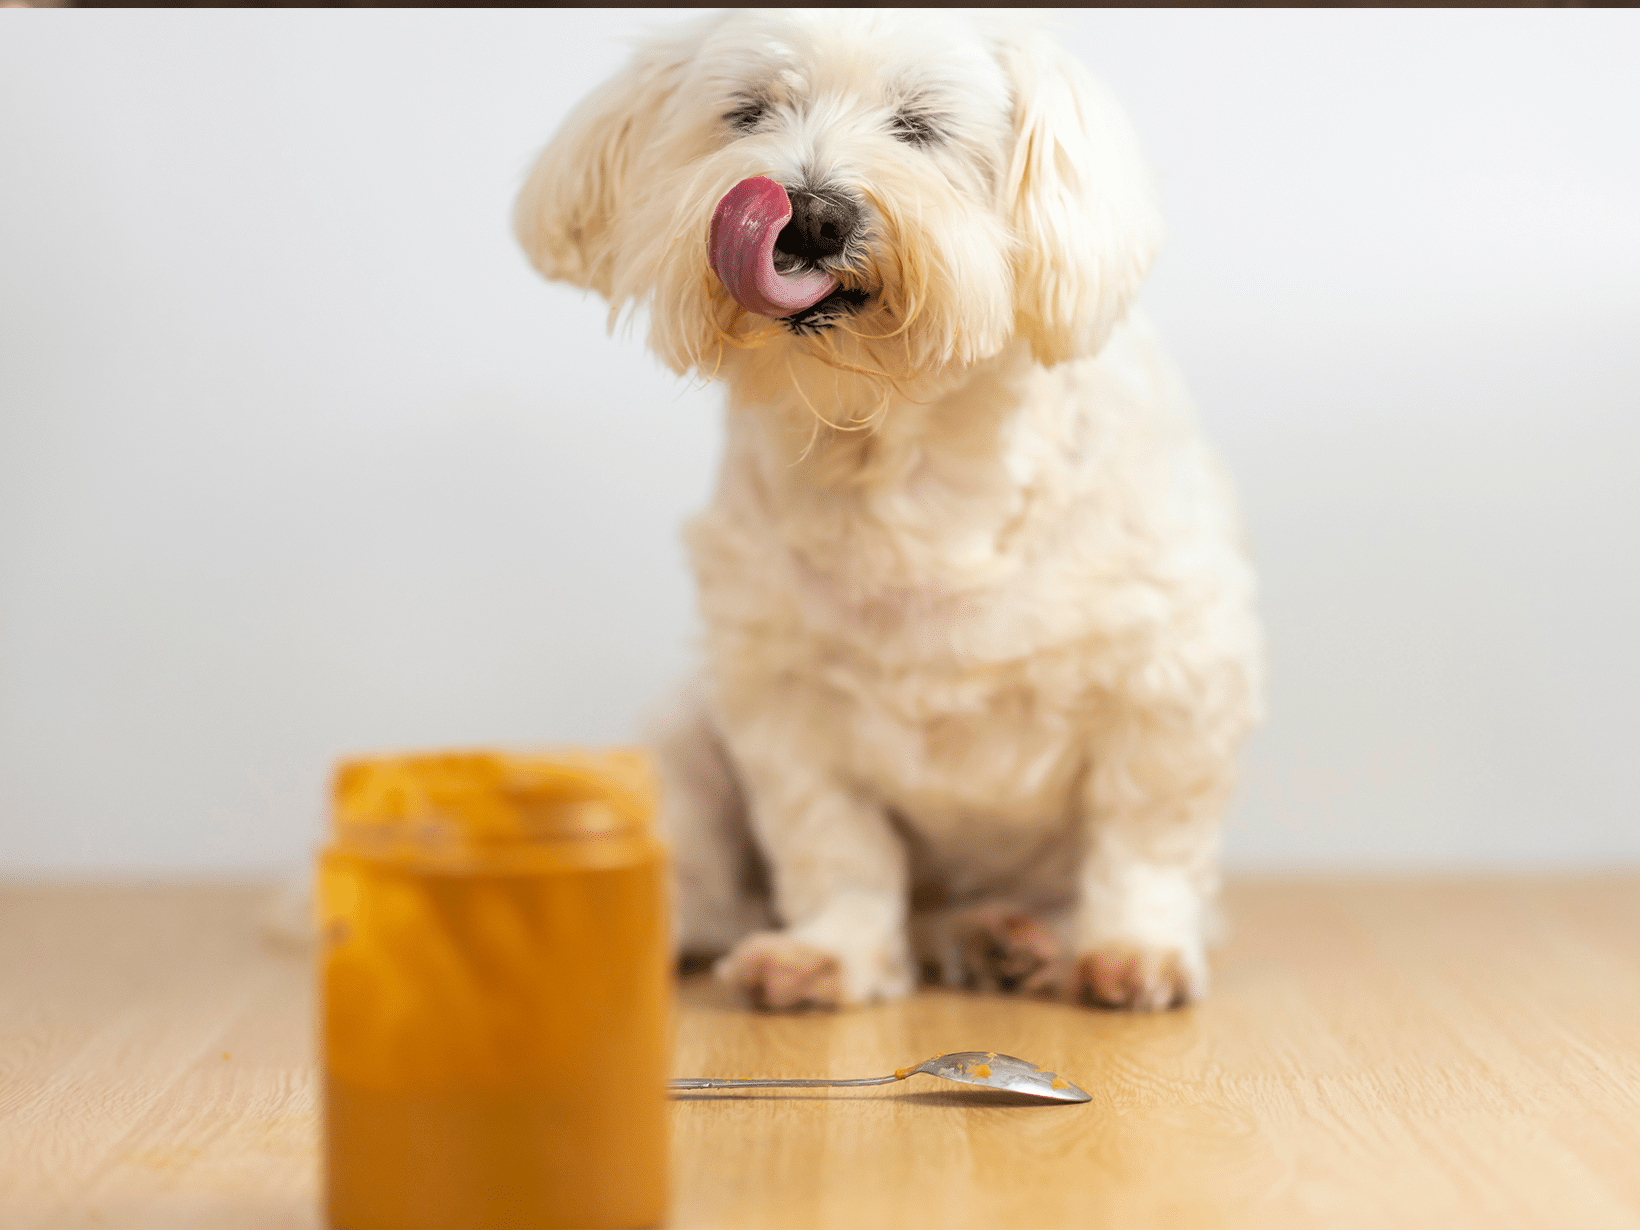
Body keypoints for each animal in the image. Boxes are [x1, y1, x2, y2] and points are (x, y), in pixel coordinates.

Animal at [518, 7, 1259, 1010]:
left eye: (921, 125)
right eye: (748, 112)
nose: (810, 214)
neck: (901, 451)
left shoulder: (1173, 674)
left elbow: (1145, 837)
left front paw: (1134, 951)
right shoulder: (784, 698)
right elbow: (834, 844)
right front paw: (830, 953)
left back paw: (1006, 938)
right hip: (684, 737)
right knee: (709, 879)